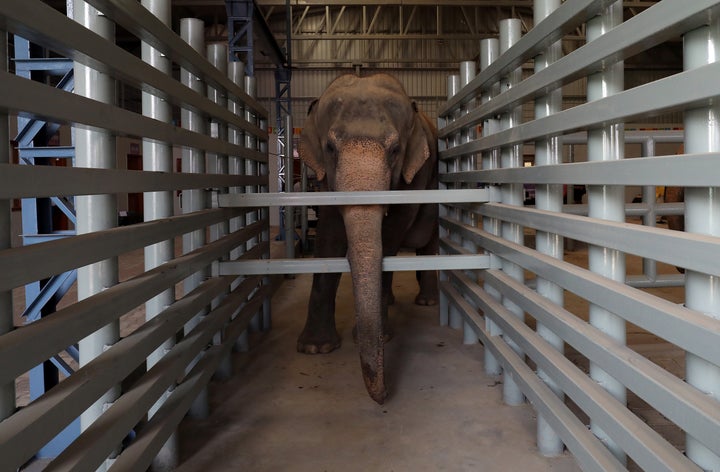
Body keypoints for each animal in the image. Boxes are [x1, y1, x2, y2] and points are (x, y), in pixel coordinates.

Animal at [296, 72, 438, 404]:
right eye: (330, 148)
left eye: (396, 150)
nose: (384, 396)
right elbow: (329, 235)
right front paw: (315, 348)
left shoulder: (416, 175)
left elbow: (393, 231)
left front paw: (380, 336)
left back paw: (427, 301)